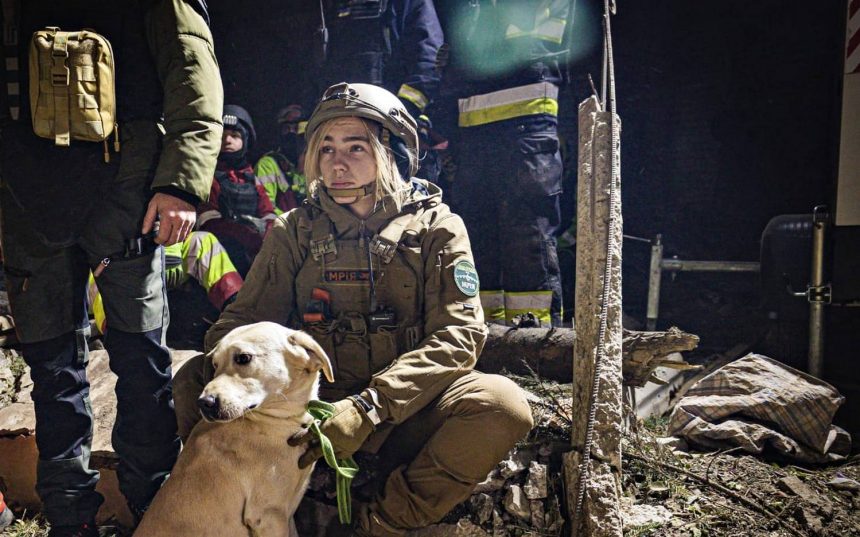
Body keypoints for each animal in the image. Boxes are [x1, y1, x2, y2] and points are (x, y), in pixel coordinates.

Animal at [135, 320, 336, 532]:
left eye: (243, 358)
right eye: (215, 364)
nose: (204, 403)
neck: (273, 422)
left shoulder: (286, 515)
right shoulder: (268, 515)